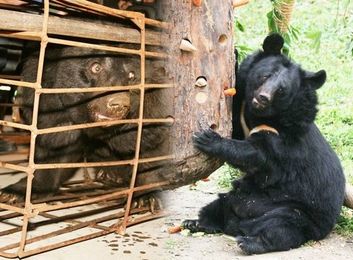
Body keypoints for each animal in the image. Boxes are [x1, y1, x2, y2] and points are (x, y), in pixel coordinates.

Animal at [183, 33, 346, 255]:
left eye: (282, 90)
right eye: (265, 76)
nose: (262, 97)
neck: (263, 115)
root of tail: (238, 225)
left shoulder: (286, 138)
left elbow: (257, 154)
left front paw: (208, 138)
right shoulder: (244, 115)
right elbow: (236, 126)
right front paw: (234, 54)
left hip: (296, 211)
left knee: (281, 228)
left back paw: (249, 242)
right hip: (234, 198)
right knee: (216, 208)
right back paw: (195, 223)